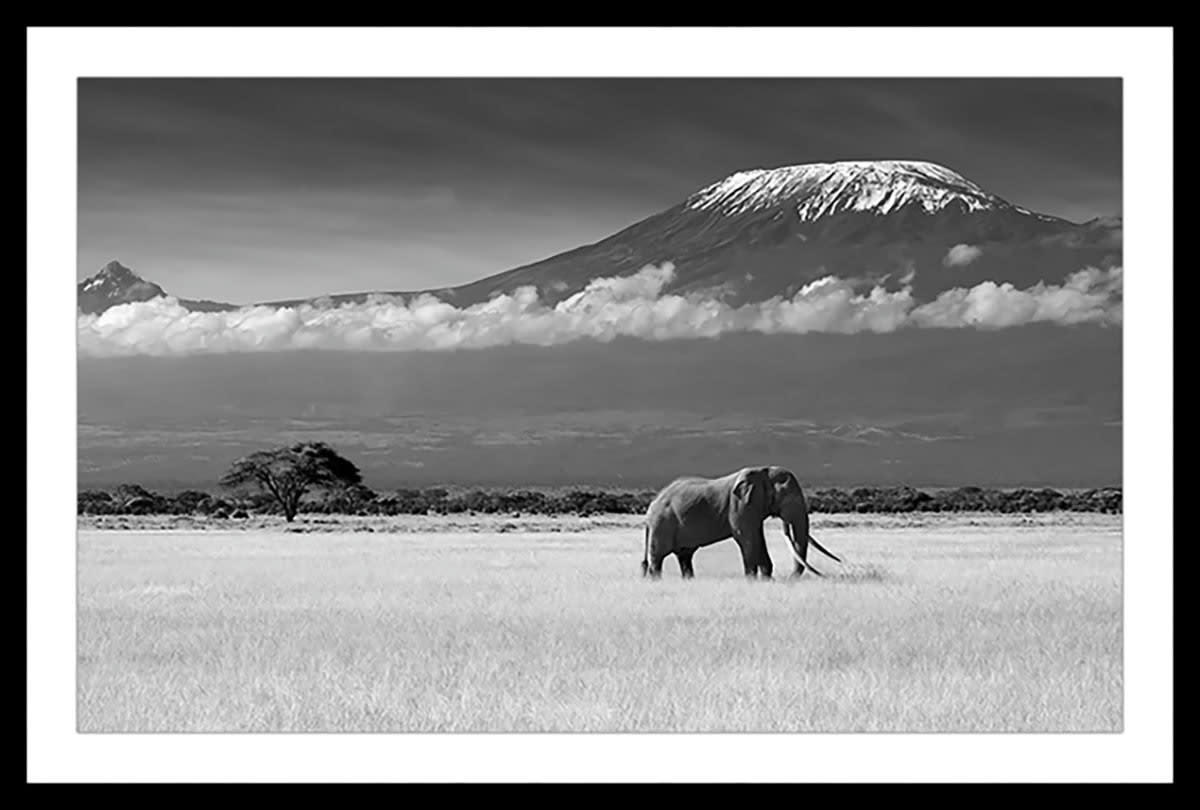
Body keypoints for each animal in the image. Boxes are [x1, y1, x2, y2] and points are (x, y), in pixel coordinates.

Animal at [640, 465, 842, 580]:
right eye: (787, 497)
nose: (791, 578)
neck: (763, 473)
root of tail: (651, 507)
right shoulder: (739, 505)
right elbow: (747, 538)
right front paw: (751, 580)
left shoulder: (753, 507)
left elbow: (758, 537)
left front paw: (767, 579)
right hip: (662, 524)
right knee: (657, 558)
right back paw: (656, 581)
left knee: (685, 557)